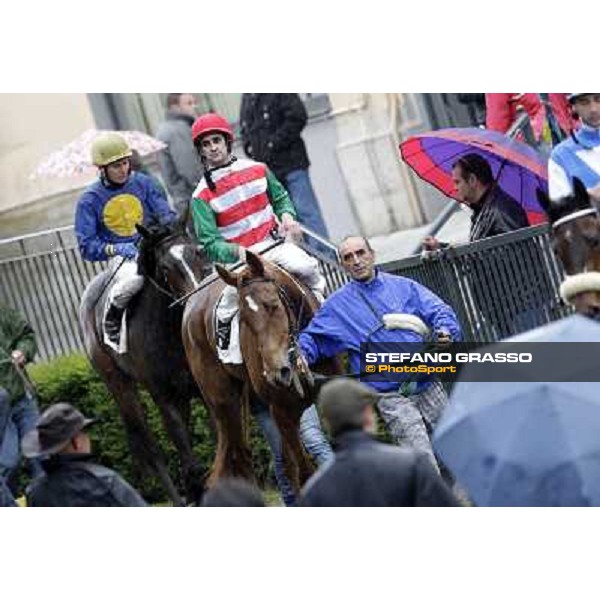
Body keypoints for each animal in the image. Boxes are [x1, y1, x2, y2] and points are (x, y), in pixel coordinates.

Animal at [78, 220, 212, 506]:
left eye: (198, 252)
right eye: (165, 268)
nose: (197, 297)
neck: (173, 334)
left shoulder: (200, 387)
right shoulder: (162, 396)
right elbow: (192, 465)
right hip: (119, 384)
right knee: (150, 447)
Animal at [183, 251, 324, 494]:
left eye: (272, 305)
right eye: (245, 319)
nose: (278, 373)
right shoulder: (283, 411)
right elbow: (304, 472)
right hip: (224, 402)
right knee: (239, 455)